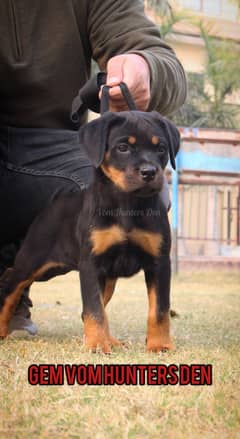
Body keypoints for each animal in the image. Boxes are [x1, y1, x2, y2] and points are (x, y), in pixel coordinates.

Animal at [0, 111, 180, 354]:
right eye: (123, 147)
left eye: (161, 148)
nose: (149, 172)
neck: (127, 205)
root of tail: (53, 204)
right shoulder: (91, 263)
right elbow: (94, 308)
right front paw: (96, 345)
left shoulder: (158, 262)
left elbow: (159, 309)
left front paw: (159, 345)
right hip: (34, 260)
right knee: (11, 284)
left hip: (103, 276)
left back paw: (111, 340)